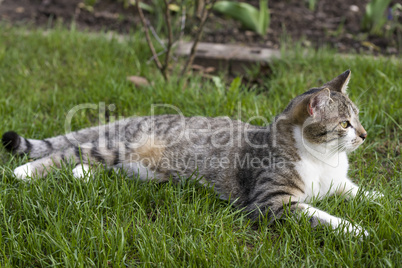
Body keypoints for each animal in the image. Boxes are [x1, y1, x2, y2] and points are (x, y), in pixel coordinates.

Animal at [1, 69, 378, 237]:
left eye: (358, 116)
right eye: (345, 123)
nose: (364, 134)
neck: (325, 159)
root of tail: (138, 117)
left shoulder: (339, 184)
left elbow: (358, 192)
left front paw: (380, 199)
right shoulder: (272, 202)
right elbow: (319, 216)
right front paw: (356, 229)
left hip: (131, 166)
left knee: (92, 163)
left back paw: (81, 175)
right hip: (116, 146)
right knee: (70, 152)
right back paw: (25, 173)